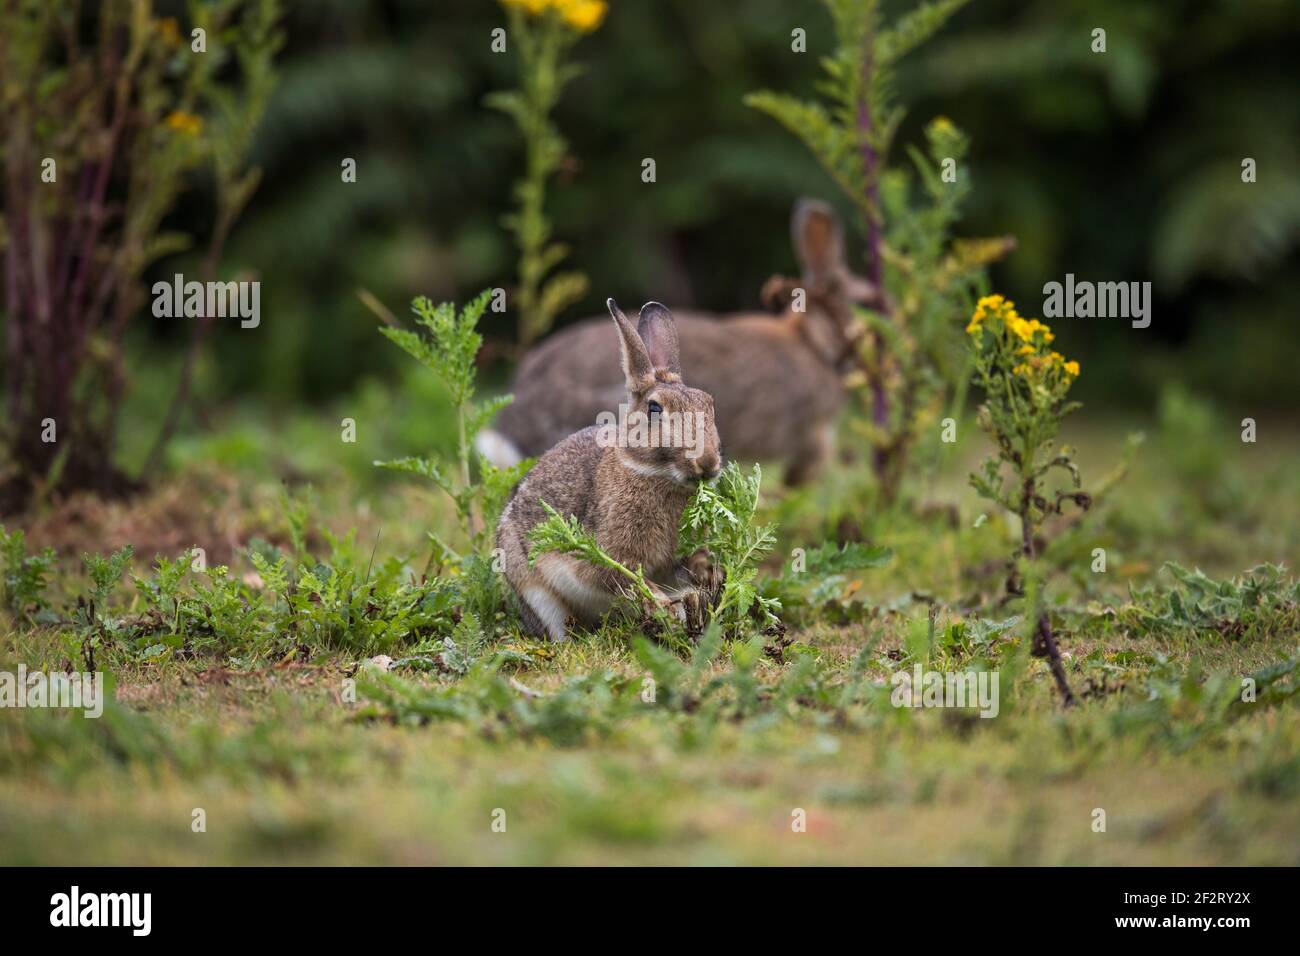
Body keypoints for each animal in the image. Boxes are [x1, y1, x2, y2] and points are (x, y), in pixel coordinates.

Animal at [493, 299, 722, 642]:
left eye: (709, 404)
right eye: (655, 408)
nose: (707, 462)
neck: (657, 476)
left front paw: (709, 577)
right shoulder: (606, 556)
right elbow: (623, 578)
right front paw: (664, 605)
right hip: (531, 585)